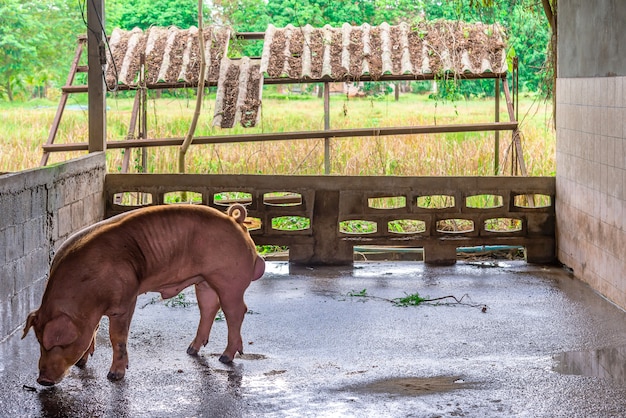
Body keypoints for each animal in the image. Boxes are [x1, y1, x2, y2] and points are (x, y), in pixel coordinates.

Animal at [22, 202, 264, 386]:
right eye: (39, 341)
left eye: (56, 344)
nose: (42, 381)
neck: (86, 295)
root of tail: (235, 222)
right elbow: (94, 330)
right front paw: (82, 362)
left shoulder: (125, 299)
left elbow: (117, 337)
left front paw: (114, 376)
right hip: (204, 281)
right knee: (209, 308)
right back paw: (191, 350)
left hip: (228, 278)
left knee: (236, 311)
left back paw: (225, 357)